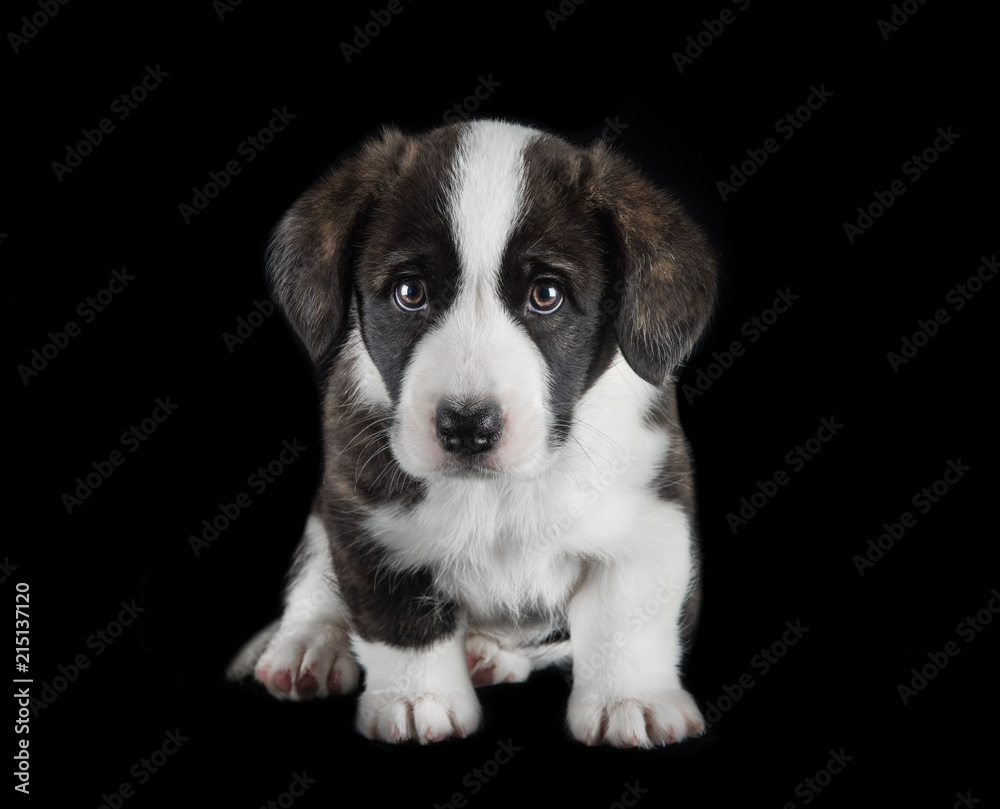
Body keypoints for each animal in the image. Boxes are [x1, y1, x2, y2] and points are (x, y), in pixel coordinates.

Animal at [230, 118, 716, 744]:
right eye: (409, 292)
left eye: (546, 295)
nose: (467, 427)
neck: (500, 490)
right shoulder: (365, 512)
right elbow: (399, 613)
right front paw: (416, 698)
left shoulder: (649, 512)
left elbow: (625, 619)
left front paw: (630, 699)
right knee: (316, 571)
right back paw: (309, 642)